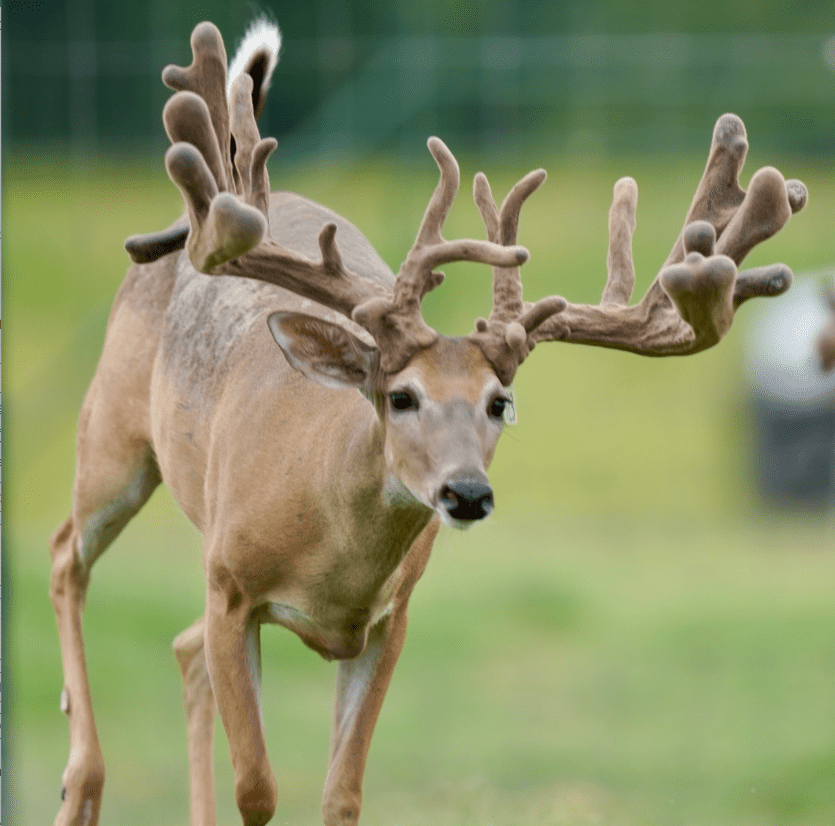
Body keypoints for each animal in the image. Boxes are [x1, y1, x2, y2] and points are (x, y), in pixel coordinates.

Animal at [49, 17, 808, 826]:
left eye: (498, 402)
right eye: (401, 396)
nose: (466, 493)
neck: (326, 545)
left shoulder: (389, 620)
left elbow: (342, 793)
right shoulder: (228, 584)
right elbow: (257, 786)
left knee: (182, 647)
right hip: (115, 433)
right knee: (67, 556)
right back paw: (81, 781)